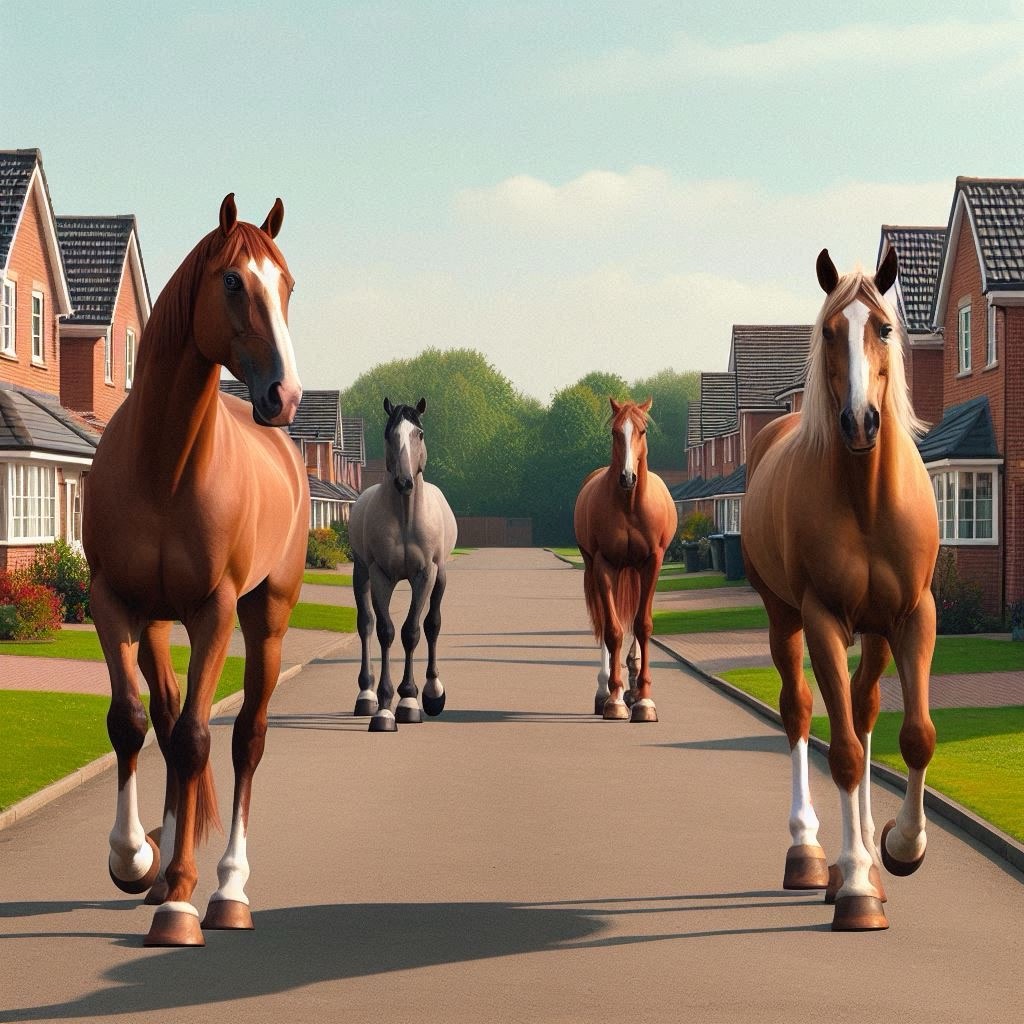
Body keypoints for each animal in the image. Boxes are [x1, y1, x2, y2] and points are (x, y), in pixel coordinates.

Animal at [82, 194, 309, 947]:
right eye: (234, 281)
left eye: (286, 285)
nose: (285, 396)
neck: (165, 463)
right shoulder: (113, 603)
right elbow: (132, 722)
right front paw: (135, 859)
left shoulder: (215, 609)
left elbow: (195, 739)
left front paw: (180, 905)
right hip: (157, 623)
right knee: (165, 712)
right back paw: (162, 872)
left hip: (266, 619)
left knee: (243, 739)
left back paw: (226, 891)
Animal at [349, 398, 458, 732]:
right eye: (389, 434)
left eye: (418, 434)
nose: (404, 481)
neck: (405, 518)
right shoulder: (379, 575)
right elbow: (385, 631)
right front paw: (385, 710)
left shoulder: (425, 575)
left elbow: (412, 631)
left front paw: (409, 700)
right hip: (360, 574)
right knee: (366, 624)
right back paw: (366, 695)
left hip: (441, 576)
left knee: (432, 624)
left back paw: (434, 693)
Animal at [573, 398, 678, 722]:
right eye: (615, 432)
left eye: (642, 431)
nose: (627, 477)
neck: (630, 505)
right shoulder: (604, 564)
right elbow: (613, 629)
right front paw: (615, 700)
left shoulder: (652, 563)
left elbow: (642, 625)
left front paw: (644, 701)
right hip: (596, 569)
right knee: (606, 621)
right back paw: (606, 690)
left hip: (633, 570)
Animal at [741, 247, 938, 931]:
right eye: (829, 331)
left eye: (884, 328)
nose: (860, 421)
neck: (866, 499)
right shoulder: (822, 618)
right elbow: (846, 752)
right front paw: (853, 887)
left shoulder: (915, 615)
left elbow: (916, 735)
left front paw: (899, 848)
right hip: (785, 620)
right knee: (802, 712)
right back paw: (809, 855)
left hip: (876, 634)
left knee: (863, 705)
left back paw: (872, 862)